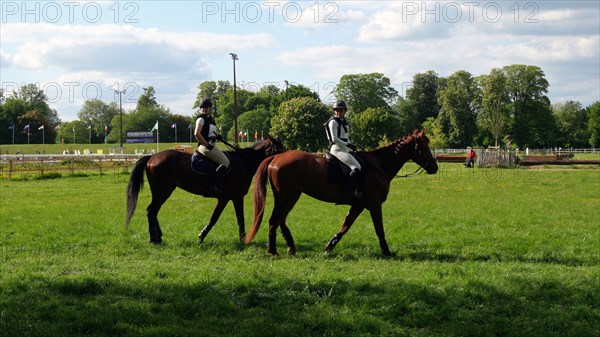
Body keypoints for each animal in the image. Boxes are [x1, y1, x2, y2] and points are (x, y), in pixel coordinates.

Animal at [125, 136, 284, 244]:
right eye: (277, 148)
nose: (284, 161)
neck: (243, 162)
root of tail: (152, 156)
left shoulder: (225, 198)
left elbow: (214, 218)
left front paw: (202, 236)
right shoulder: (237, 197)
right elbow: (240, 219)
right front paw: (244, 240)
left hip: (163, 192)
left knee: (152, 211)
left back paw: (158, 237)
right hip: (162, 191)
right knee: (152, 211)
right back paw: (154, 239)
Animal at [243, 130, 436, 256]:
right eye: (423, 147)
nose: (435, 167)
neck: (378, 166)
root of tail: (275, 157)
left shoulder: (358, 205)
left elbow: (345, 227)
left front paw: (329, 247)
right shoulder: (374, 205)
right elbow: (379, 229)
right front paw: (387, 251)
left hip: (292, 196)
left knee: (280, 220)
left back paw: (290, 247)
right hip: (286, 196)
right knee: (274, 220)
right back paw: (273, 250)